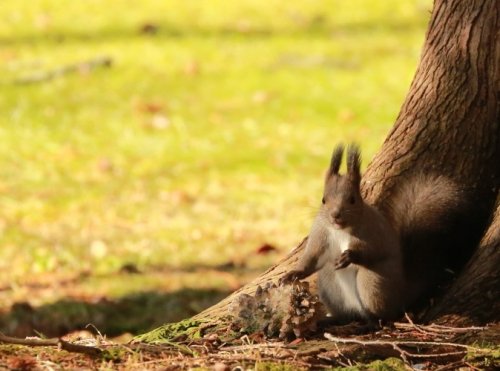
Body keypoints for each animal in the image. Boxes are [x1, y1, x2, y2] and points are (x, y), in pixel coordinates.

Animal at [280, 144, 462, 324]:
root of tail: (401, 294)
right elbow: (312, 257)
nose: (335, 214)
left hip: (372, 282)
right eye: (324, 200)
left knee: (385, 313)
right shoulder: (320, 233)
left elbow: (373, 251)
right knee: (347, 312)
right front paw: (293, 274)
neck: (341, 230)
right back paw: (335, 319)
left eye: (353, 199)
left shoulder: (373, 233)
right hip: (329, 280)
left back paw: (373, 322)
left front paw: (349, 256)